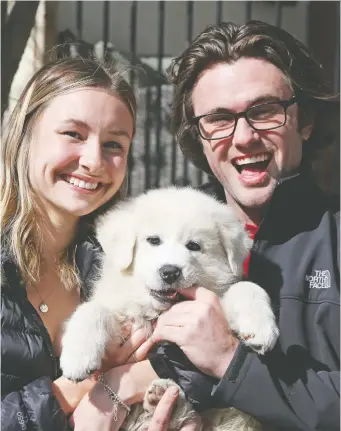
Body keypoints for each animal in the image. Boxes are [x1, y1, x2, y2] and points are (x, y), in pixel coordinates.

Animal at [60, 188, 278, 431]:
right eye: (153, 240)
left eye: (194, 246)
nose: (170, 272)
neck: (156, 309)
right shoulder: (124, 317)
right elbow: (92, 310)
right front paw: (78, 359)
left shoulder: (212, 301)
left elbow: (247, 287)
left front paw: (261, 329)